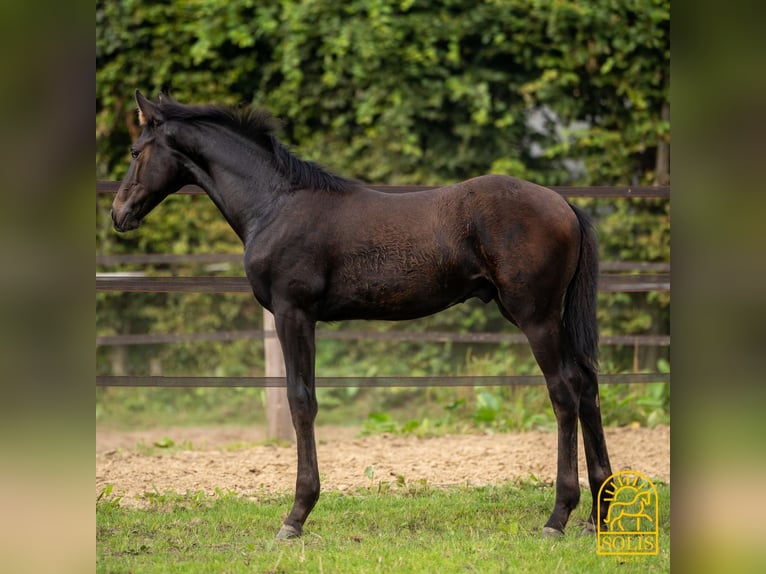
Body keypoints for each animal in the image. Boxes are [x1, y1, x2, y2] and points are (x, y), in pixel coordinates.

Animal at [111, 91, 616, 540]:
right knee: (587, 385)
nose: (119, 214)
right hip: (544, 316)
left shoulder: (293, 313)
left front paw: (295, 517)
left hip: (535, 316)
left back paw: (558, 517)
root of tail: (564, 204)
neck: (275, 203)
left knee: (564, 393)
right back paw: (598, 513)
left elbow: (301, 402)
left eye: (136, 151)